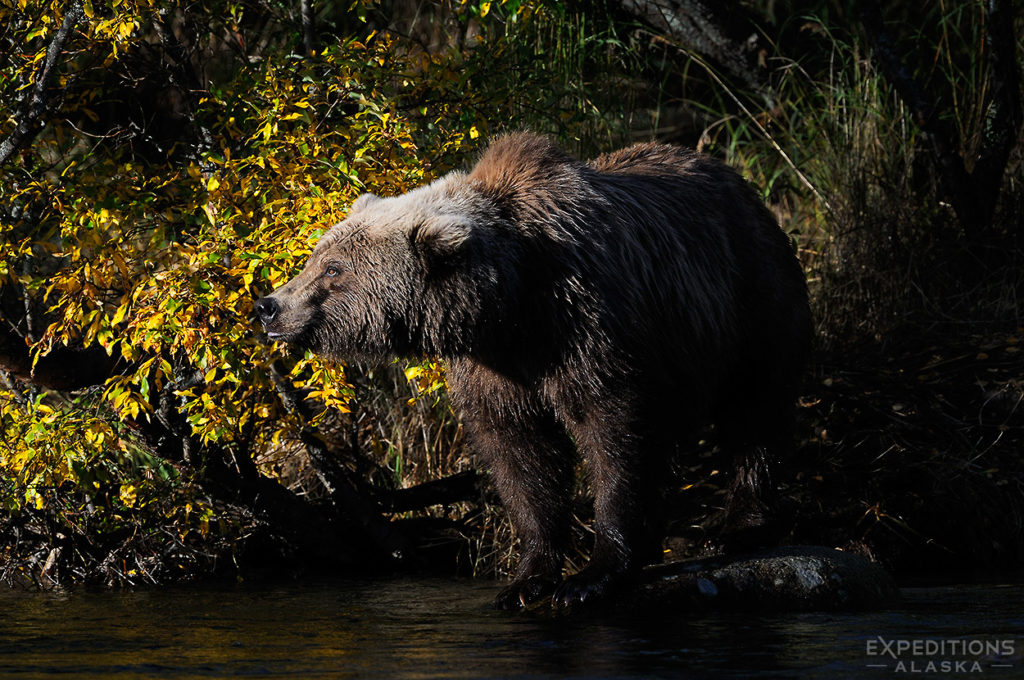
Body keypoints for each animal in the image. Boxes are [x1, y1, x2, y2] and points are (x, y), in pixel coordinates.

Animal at [258, 133, 815, 610]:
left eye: (333, 268)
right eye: (316, 257)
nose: (269, 306)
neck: (511, 305)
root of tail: (738, 181)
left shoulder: (587, 328)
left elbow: (612, 435)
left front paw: (590, 578)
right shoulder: (494, 368)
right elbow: (520, 454)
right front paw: (526, 580)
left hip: (749, 299)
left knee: (756, 410)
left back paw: (743, 523)